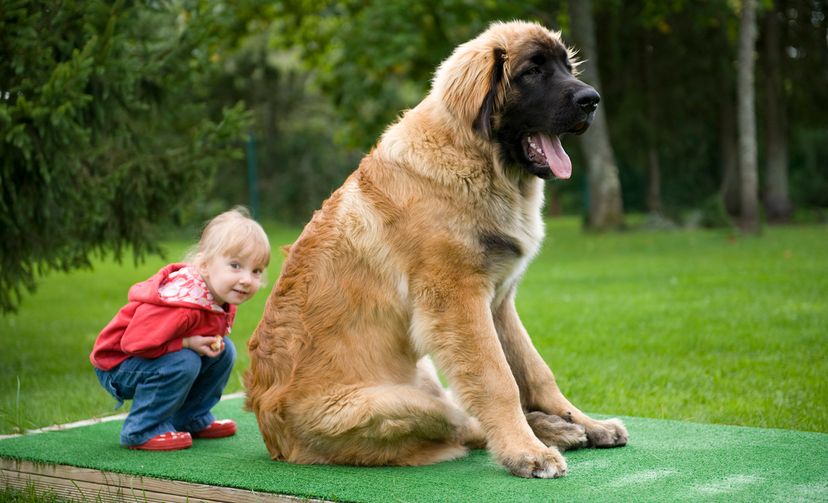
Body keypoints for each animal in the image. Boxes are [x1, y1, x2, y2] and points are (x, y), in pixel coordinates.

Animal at [246, 20, 628, 480]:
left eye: (566, 68)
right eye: (532, 72)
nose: (592, 100)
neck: (476, 158)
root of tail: (272, 437)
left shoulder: (498, 302)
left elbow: (535, 372)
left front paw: (585, 421)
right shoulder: (457, 301)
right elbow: (498, 380)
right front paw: (526, 452)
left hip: (423, 376)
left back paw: (563, 428)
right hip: (396, 406)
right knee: (463, 423)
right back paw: (547, 435)